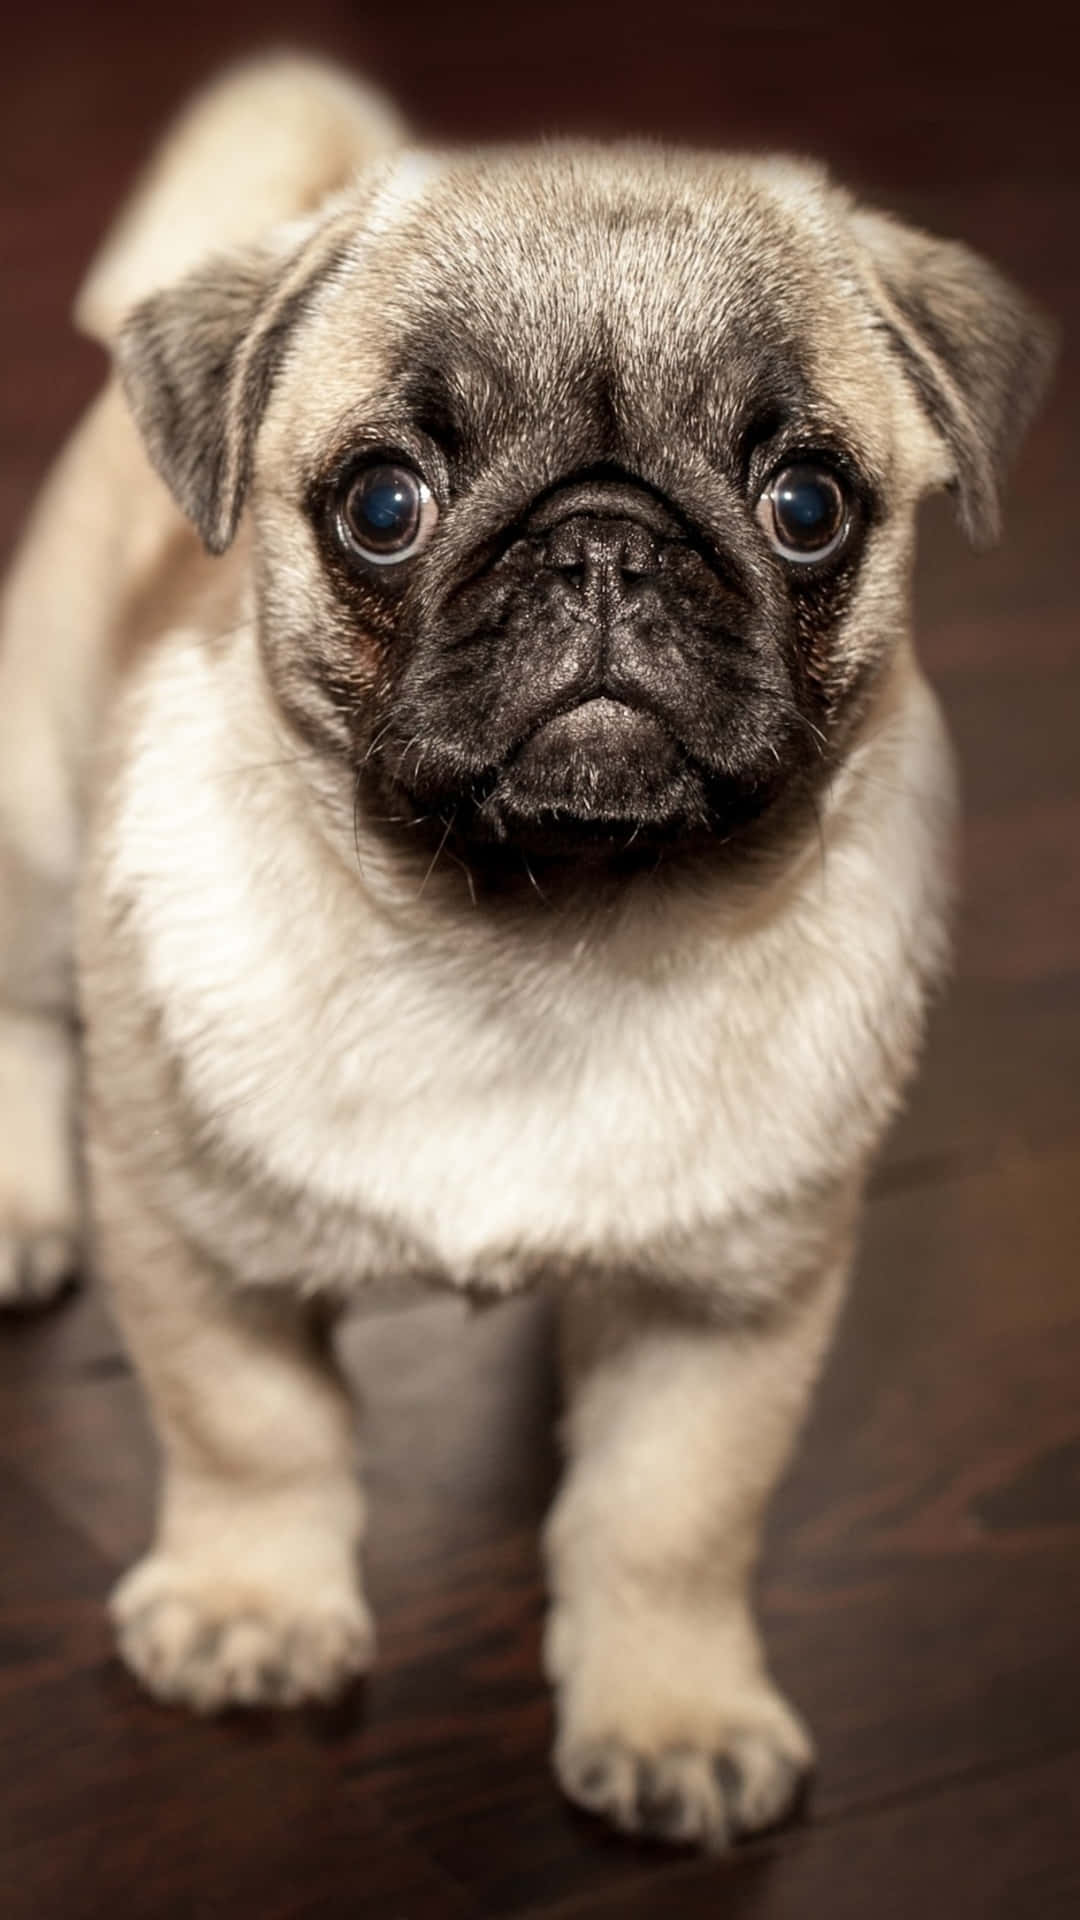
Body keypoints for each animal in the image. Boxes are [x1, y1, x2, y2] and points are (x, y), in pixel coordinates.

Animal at [0, 48, 1053, 1843]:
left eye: (808, 505)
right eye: (382, 505)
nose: (606, 541)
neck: (535, 938)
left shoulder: (730, 1306)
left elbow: (669, 1519)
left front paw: (673, 1713)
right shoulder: (192, 1244)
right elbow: (254, 1431)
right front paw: (250, 1607)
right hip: (29, 807)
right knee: (21, 1001)